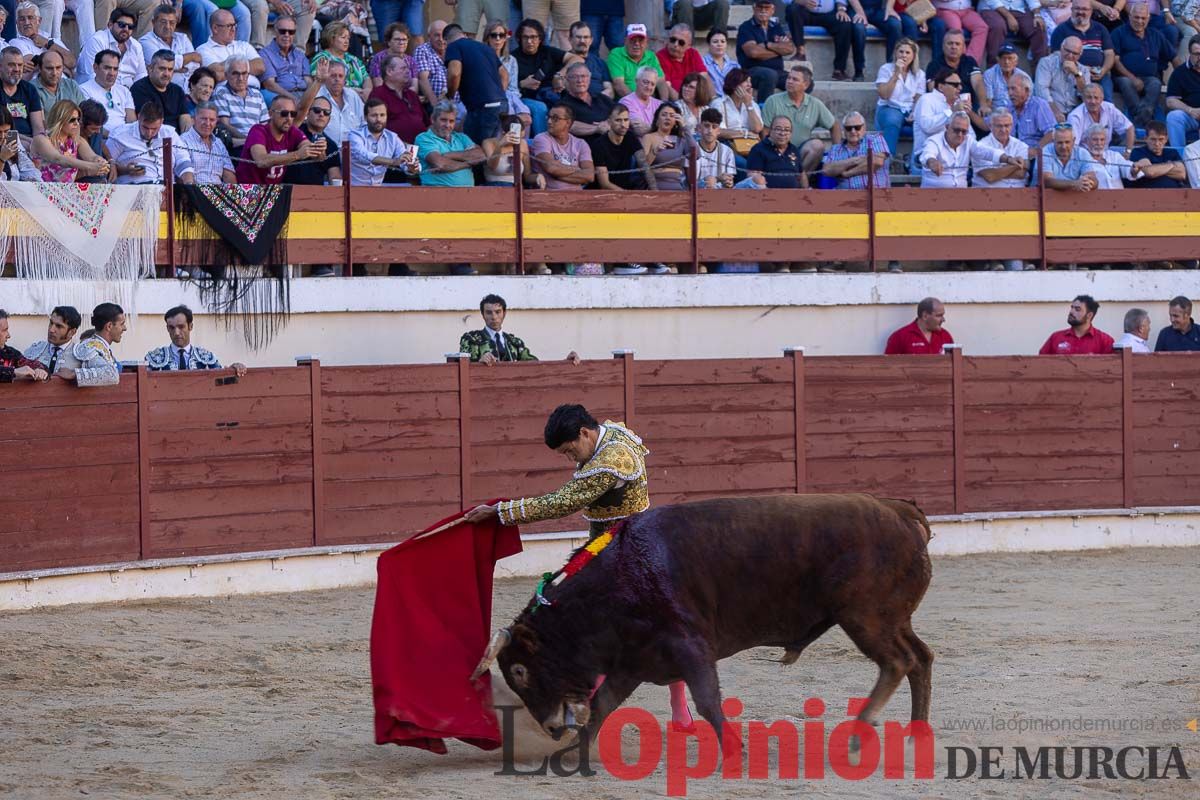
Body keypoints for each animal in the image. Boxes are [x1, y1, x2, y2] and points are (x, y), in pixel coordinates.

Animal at [470, 491, 936, 748]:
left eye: (519, 670)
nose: (550, 728)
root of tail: (898, 510)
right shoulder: (632, 660)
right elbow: (603, 705)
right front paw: (573, 754)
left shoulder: (690, 647)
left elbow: (708, 700)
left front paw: (735, 750)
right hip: (893, 618)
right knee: (922, 658)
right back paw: (917, 730)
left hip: (864, 617)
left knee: (898, 661)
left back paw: (861, 730)